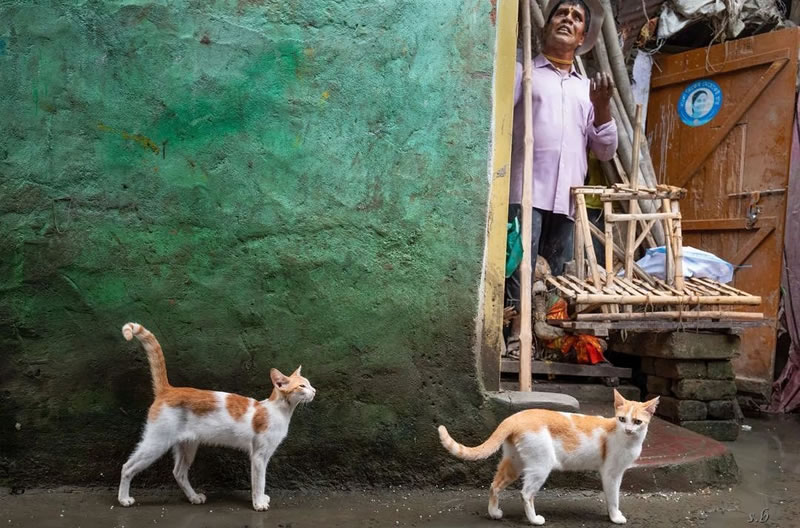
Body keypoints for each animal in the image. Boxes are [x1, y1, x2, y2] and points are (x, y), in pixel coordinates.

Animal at [117, 322, 314, 512]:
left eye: (309, 384)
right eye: (302, 386)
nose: (314, 391)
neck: (278, 411)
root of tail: (168, 389)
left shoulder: (266, 455)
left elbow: (262, 480)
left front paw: (262, 499)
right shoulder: (258, 456)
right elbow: (259, 481)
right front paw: (258, 503)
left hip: (187, 446)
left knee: (178, 472)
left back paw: (194, 497)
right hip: (157, 442)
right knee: (127, 467)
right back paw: (123, 499)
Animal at [438, 390, 656, 524]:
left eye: (637, 422)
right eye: (622, 419)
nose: (628, 430)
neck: (628, 440)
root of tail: (515, 417)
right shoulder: (611, 474)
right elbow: (613, 498)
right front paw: (615, 517)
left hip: (514, 463)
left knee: (495, 485)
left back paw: (494, 513)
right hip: (541, 465)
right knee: (526, 494)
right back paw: (534, 520)